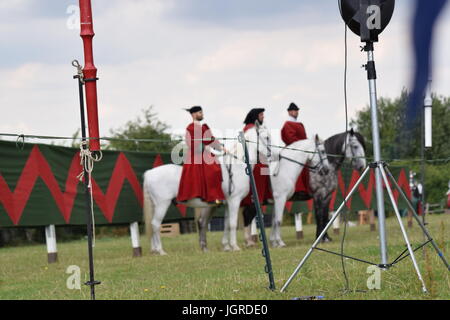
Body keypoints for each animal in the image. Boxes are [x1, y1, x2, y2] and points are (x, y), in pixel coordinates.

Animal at [144, 126, 270, 254]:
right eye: (267, 137)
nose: (270, 154)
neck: (236, 167)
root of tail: (149, 173)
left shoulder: (227, 204)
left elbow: (226, 224)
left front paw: (226, 246)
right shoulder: (234, 201)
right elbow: (233, 224)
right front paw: (235, 246)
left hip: (155, 205)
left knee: (152, 225)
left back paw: (155, 250)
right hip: (162, 204)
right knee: (155, 224)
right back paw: (161, 251)